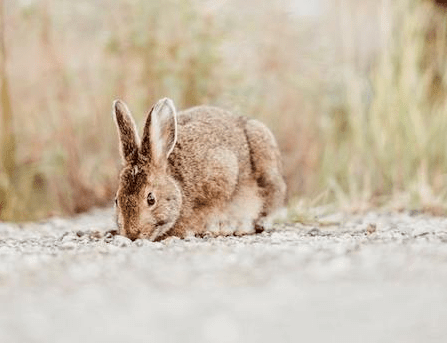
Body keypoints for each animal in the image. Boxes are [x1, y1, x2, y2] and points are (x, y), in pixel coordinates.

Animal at [113, 97, 288, 242]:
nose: (132, 235)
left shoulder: (224, 174)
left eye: (151, 199)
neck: (179, 188)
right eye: (116, 200)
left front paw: (220, 228)